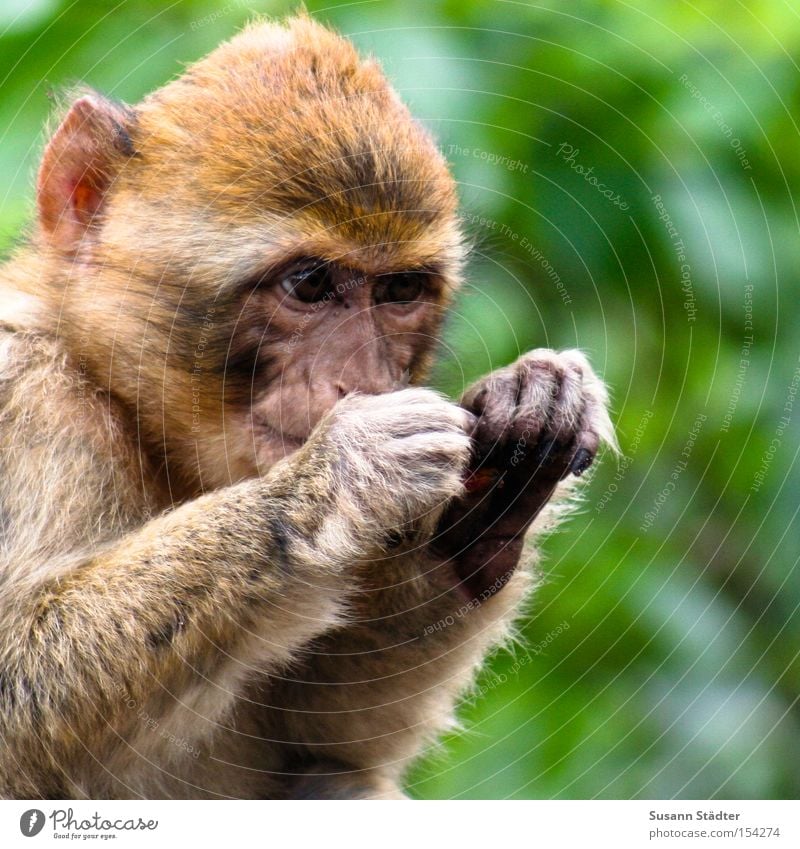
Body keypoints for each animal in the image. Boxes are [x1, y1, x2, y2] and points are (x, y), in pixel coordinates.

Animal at [0, 13, 616, 800]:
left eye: (399, 290)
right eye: (309, 283)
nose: (361, 380)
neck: (115, 396)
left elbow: (321, 746)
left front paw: (504, 466)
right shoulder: (26, 396)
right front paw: (337, 479)